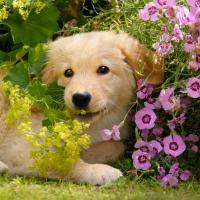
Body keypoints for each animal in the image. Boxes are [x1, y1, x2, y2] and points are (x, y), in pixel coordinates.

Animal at [0, 30, 163, 184]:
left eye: (103, 69)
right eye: (68, 72)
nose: (80, 98)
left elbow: (116, 146)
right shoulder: (23, 145)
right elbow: (66, 162)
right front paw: (100, 172)